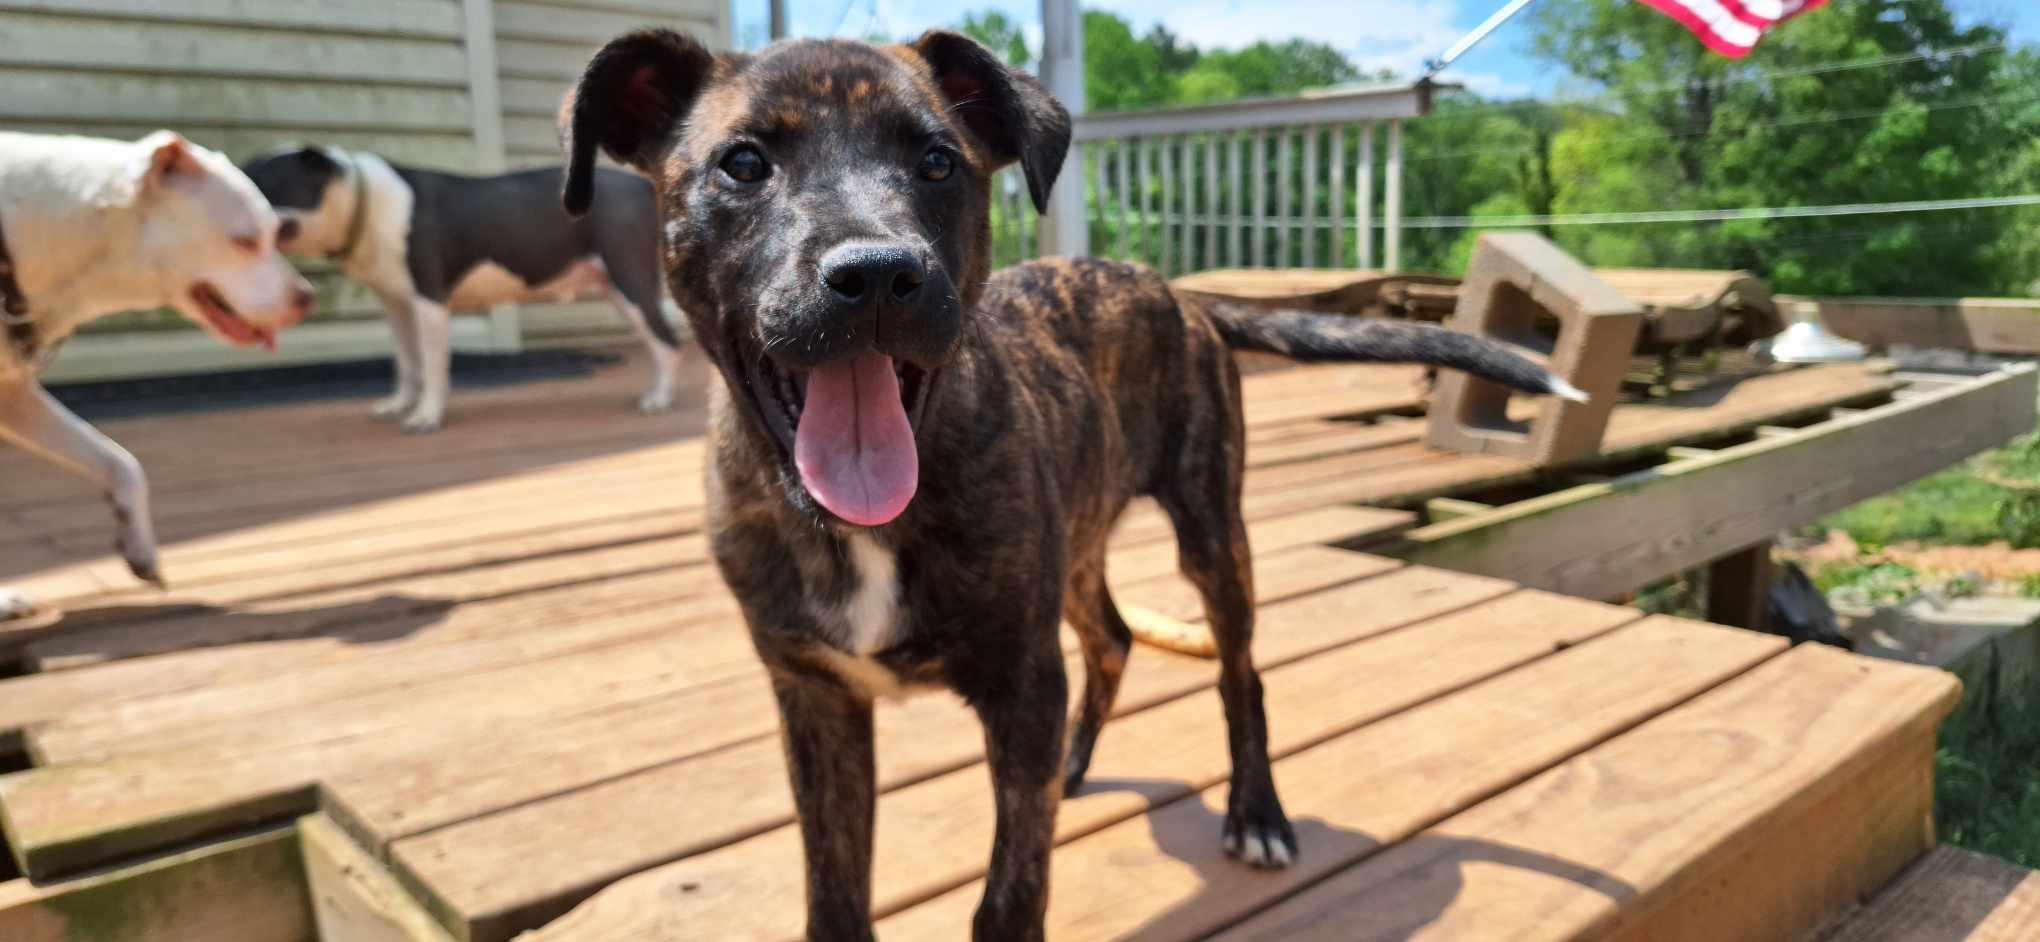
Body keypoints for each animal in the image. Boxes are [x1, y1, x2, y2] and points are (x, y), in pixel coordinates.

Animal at [240, 147, 685, 432]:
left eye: (265, 187)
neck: (362, 208)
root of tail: (642, 186)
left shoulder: (429, 303)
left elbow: (433, 365)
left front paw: (425, 416)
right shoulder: (397, 306)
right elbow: (407, 363)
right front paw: (400, 404)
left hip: (630, 282)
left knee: (666, 341)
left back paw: (661, 399)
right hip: (615, 289)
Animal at [561, 30, 1586, 940]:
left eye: (939, 161)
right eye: (743, 163)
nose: (880, 275)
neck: (861, 527)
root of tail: (1178, 292)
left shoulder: (1018, 682)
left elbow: (1010, 899)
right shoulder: (817, 701)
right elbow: (835, 897)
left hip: (1212, 530)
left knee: (1240, 675)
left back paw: (1255, 812)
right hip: (1079, 547)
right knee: (1113, 640)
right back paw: (1075, 765)